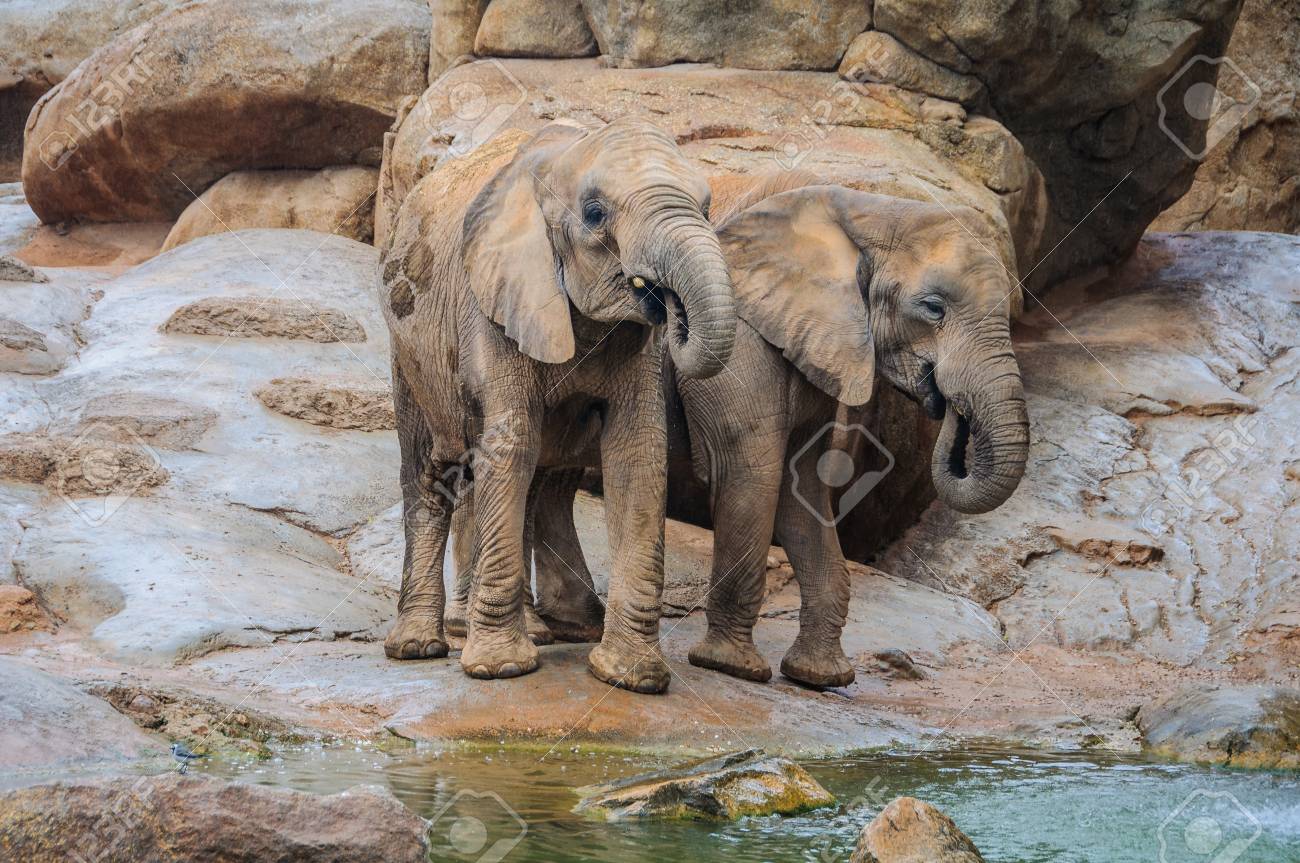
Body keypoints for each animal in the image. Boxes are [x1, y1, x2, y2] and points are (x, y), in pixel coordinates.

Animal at [377, 117, 736, 693]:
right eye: (594, 213)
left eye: (706, 208)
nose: (670, 304)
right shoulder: (496, 304)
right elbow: (512, 445)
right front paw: (500, 669)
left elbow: (636, 454)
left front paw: (632, 678)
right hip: (410, 350)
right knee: (432, 471)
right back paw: (419, 646)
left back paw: (536, 631)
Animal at [460, 173, 1030, 688]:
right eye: (933, 308)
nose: (947, 408)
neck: (866, 209)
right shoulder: (744, 356)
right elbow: (753, 480)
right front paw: (731, 667)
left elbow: (804, 496)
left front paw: (819, 677)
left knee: (548, 481)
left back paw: (566, 628)